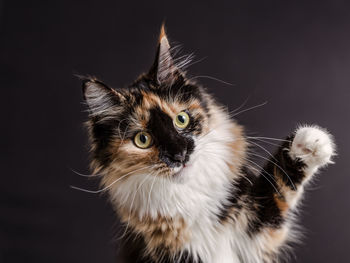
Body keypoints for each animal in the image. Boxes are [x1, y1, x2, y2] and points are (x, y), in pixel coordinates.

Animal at [80, 25, 334, 263]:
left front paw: (311, 142)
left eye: (181, 119)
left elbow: (277, 184)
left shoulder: (256, 231)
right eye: (143, 140)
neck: (193, 201)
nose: (180, 155)